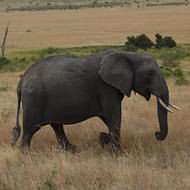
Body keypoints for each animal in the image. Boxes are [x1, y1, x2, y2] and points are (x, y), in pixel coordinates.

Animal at [11, 49, 178, 152]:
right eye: (150, 74)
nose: (156, 134)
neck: (128, 55)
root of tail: (22, 80)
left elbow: (109, 119)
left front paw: (105, 140)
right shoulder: (105, 88)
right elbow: (113, 117)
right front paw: (116, 152)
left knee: (56, 126)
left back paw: (72, 150)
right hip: (34, 99)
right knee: (30, 130)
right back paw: (26, 155)